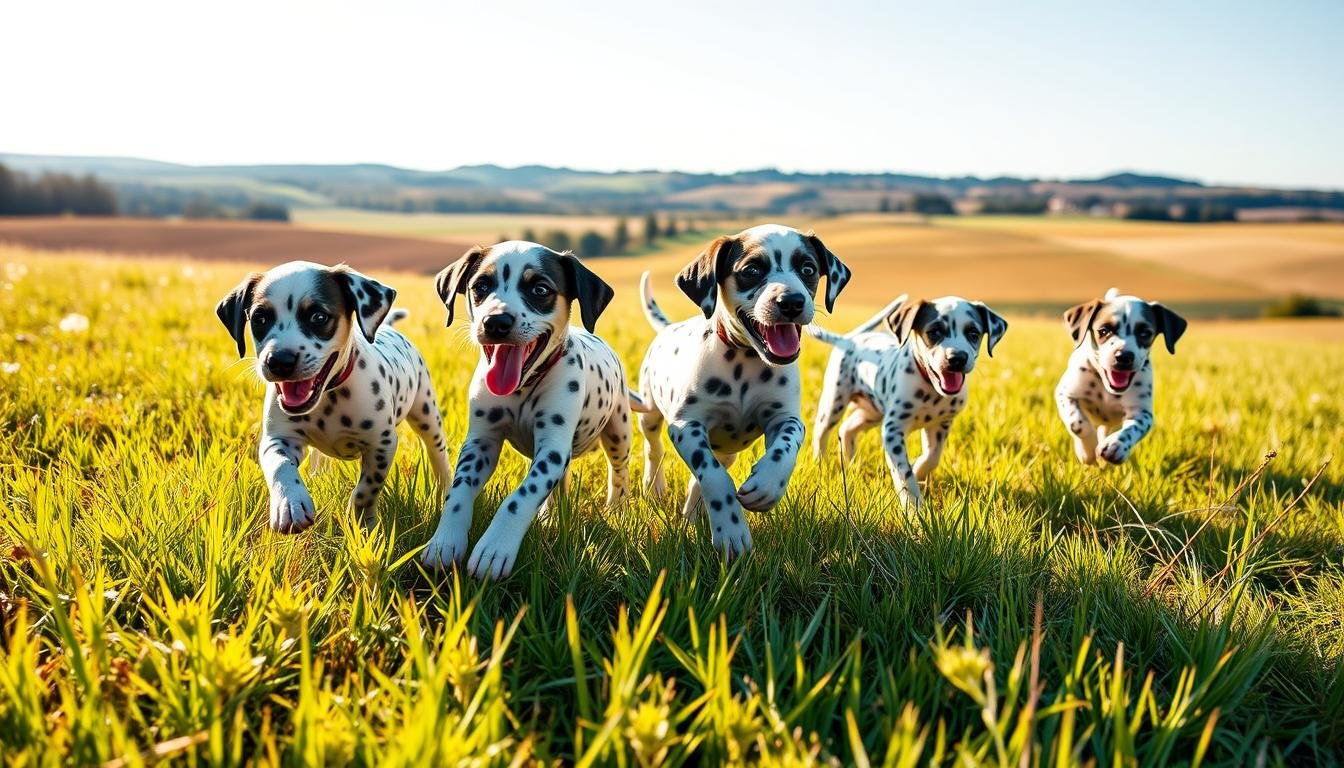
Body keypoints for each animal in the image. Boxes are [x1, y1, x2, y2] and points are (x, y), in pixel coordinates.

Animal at [215, 260, 451, 532]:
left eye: (318, 317)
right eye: (259, 318)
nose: (279, 361)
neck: (330, 397)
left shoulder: (381, 444)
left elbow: (366, 489)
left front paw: (362, 522)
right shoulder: (280, 437)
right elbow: (280, 466)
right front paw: (289, 505)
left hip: (426, 411)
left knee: (437, 451)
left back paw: (445, 487)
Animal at [424, 240, 639, 575]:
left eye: (540, 289)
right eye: (480, 286)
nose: (496, 322)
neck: (522, 389)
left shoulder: (552, 448)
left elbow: (520, 498)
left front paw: (495, 547)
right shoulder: (481, 442)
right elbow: (458, 491)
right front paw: (445, 541)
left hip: (619, 431)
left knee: (618, 471)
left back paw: (617, 507)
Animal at [639, 225, 849, 556]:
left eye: (808, 269)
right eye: (751, 270)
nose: (791, 301)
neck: (744, 362)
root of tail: (669, 328)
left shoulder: (785, 418)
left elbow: (786, 445)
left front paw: (768, 484)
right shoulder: (686, 426)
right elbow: (714, 475)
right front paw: (730, 529)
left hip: (725, 450)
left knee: (699, 480)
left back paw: (690, 518)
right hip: (649, 412)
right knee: (654, 447)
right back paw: (655, 485)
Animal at [795, 295, 1010, 511]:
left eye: (973, 333)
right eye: (934, 331)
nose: (957, 358)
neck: (931, 390)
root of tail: (848, 340)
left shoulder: (941, 425)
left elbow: (932, 457)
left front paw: (919, 470)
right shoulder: (893, 430)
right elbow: (904, 475)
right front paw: (913, 508)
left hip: (872, 412)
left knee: (847, 428)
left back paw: (849, 462)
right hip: (834, 401)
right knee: (821, 433)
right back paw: (821, 464)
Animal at [1059, 287, 1188, 465]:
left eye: (1145, 333)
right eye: (1104, 330)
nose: (1123, 356)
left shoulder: (1142, 412)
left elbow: (1134, 428)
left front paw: (1117, 444)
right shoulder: (1065, 393)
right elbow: (1077, 423)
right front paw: (1087, 451)